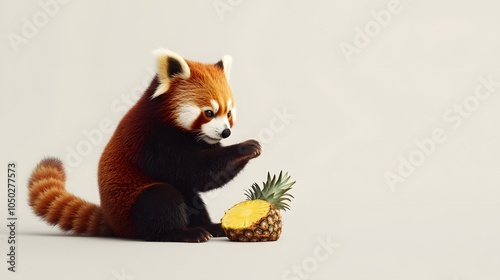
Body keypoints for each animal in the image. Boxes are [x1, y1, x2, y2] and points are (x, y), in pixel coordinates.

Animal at [27, 49, 262, 242]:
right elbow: (194, 170)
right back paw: (184, 233)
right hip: (133, 206)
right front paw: (244, 148)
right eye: (209, 113)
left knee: (192, 198)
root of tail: (112, 222)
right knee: (161, 199)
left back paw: (211, 227)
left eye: (229, 113)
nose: (225, 132)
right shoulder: (151, 141)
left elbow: (206, 180)